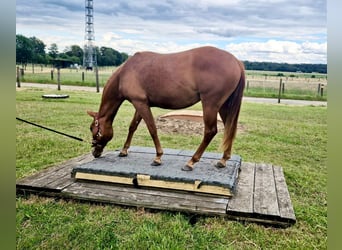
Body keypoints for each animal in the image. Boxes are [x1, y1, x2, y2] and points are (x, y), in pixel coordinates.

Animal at [87, 46, 244, 171]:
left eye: (92, 128)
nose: (95, 152)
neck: (124, 73)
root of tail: (236, 61)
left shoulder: (140, 103)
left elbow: (152, 128)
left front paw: (158, 157)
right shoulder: (141, 104)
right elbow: (133, 126)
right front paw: (124, 150)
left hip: (210, 105)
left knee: (210, 131)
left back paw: (191, 162)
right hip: (223, 106)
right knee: (230, 129)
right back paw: (223, 160)